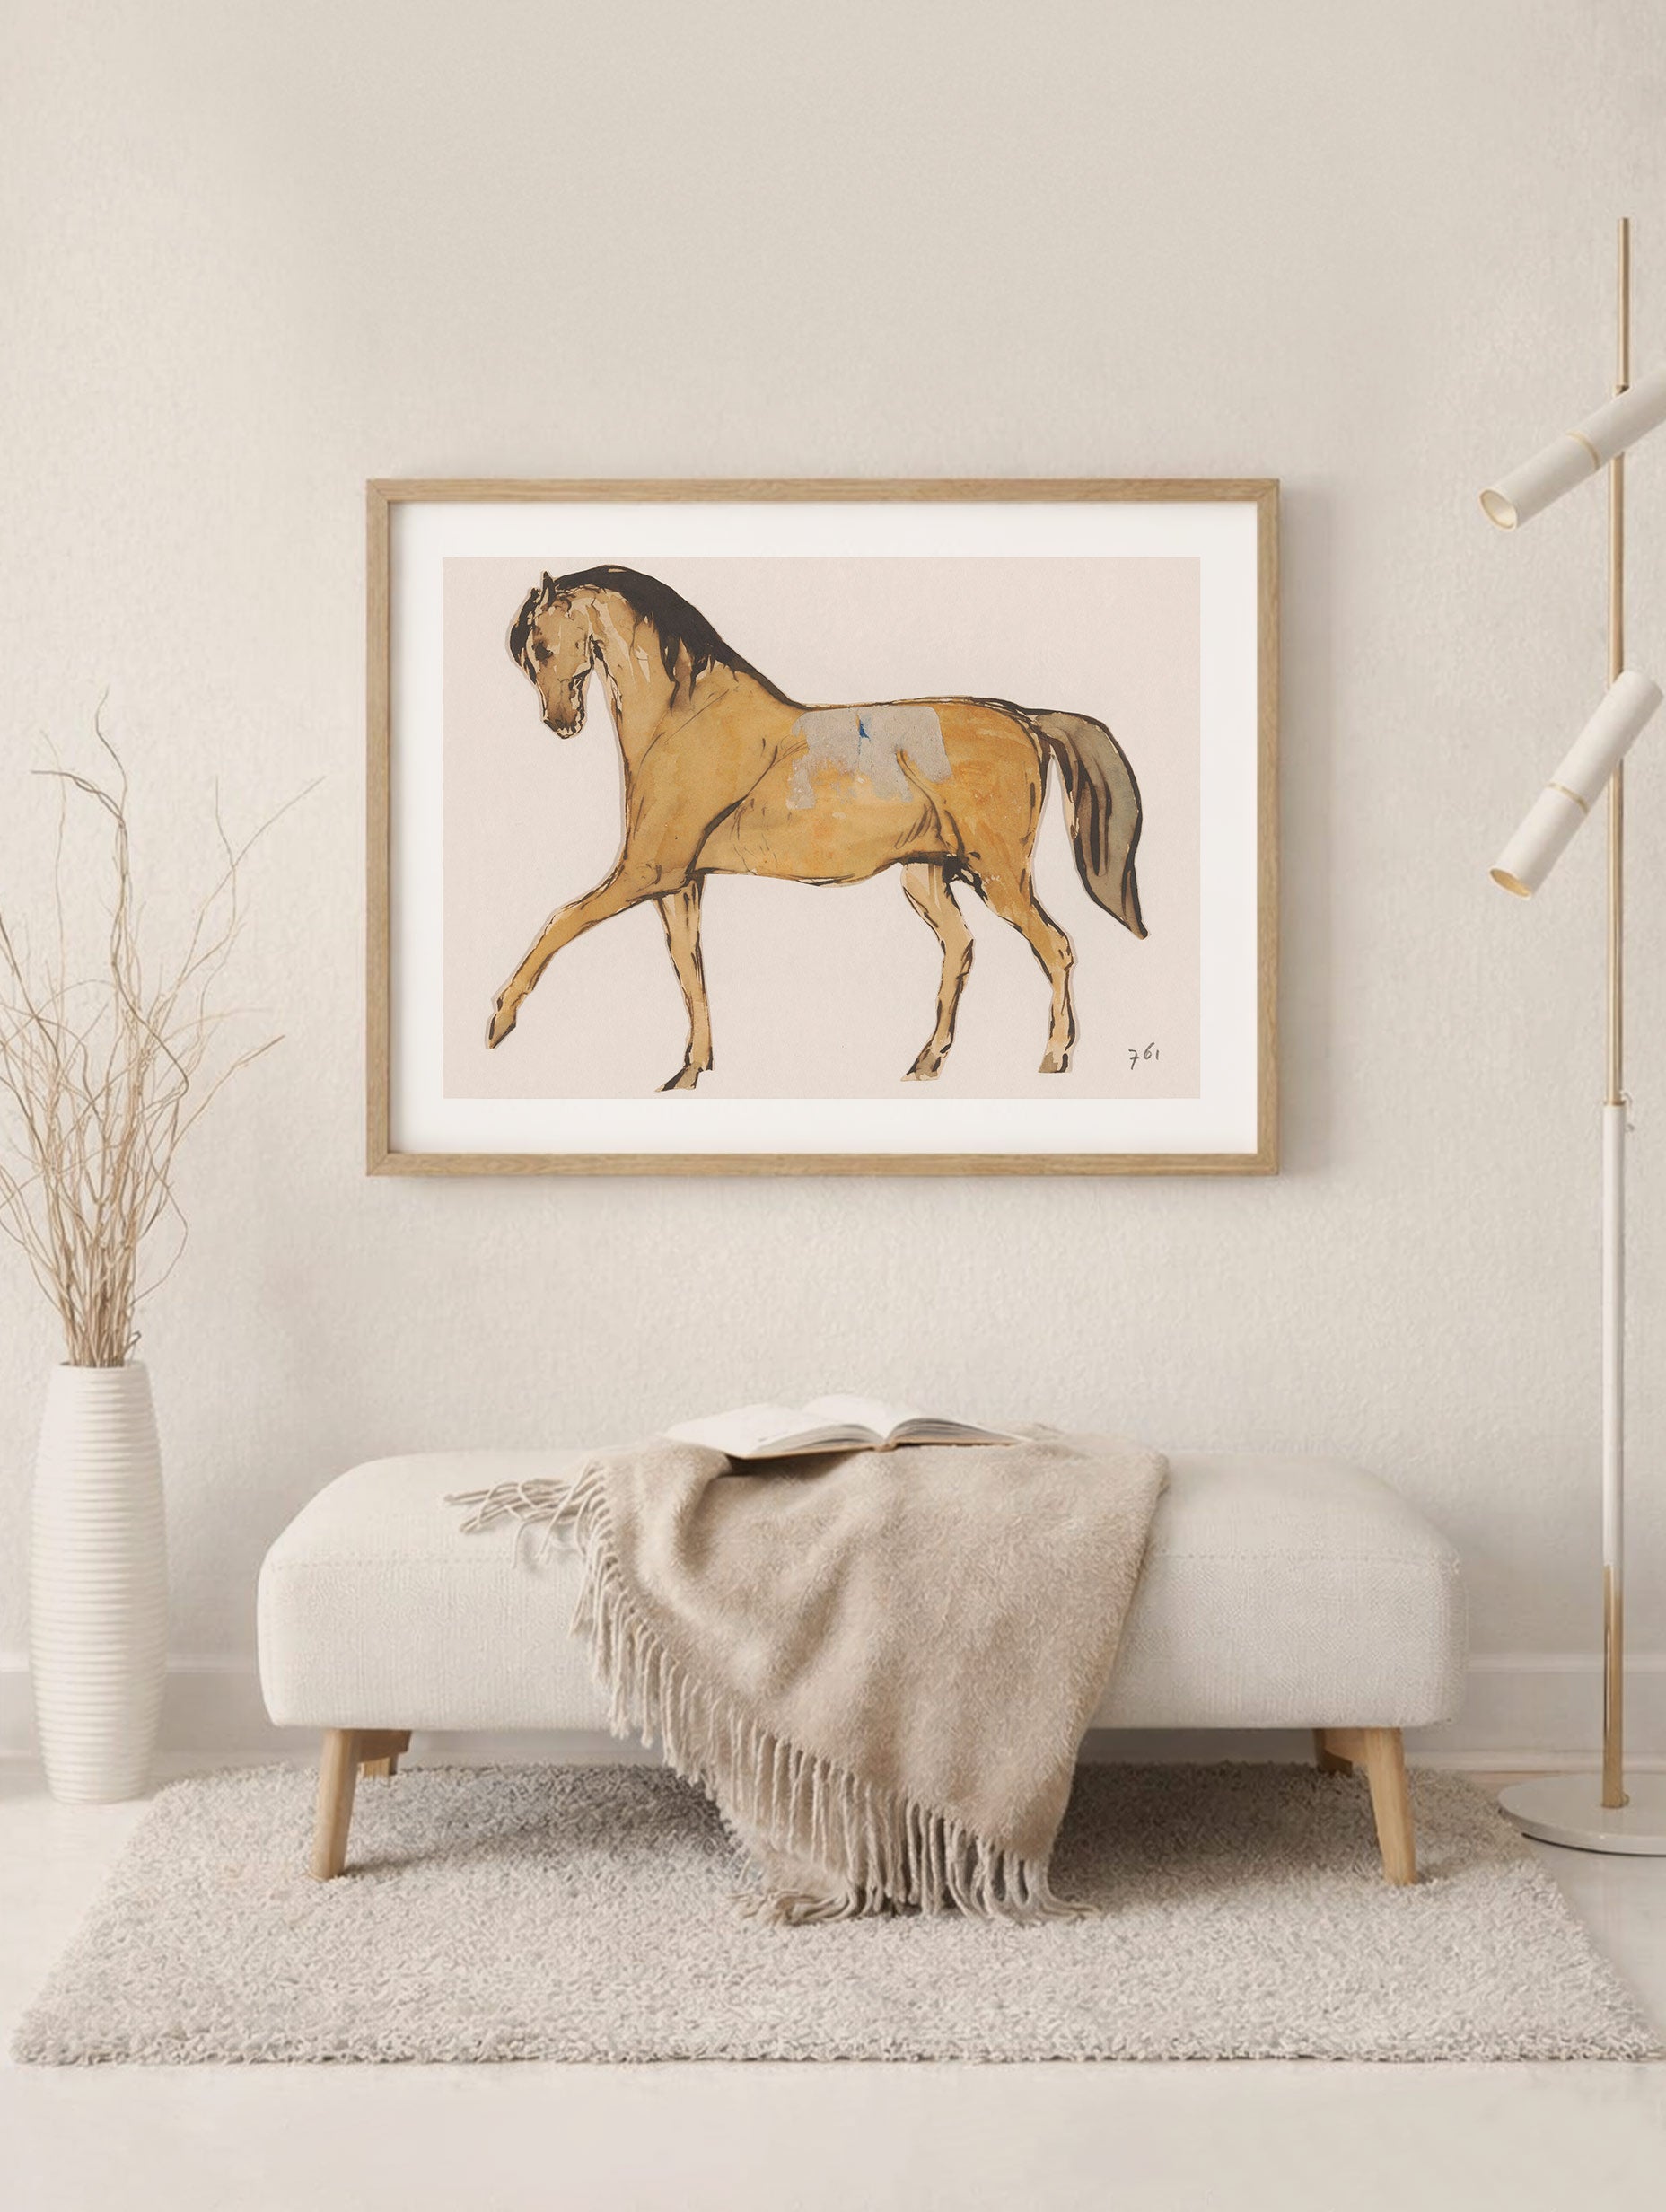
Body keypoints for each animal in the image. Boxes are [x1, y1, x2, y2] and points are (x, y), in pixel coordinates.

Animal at [489, 564, 1147, 1090]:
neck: (685, 721)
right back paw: (925, 1064)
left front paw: (497, 1022)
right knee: (961, 949)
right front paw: (689, 1072)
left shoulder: (645, 873)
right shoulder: (679, 883)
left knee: (1055, 947)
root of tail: (1026, 718)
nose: (560, 723)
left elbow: (561, 921)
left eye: (540, 647)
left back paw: (1053, 1059)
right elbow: (688, 967)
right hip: (927, 876)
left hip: (1000, 876)